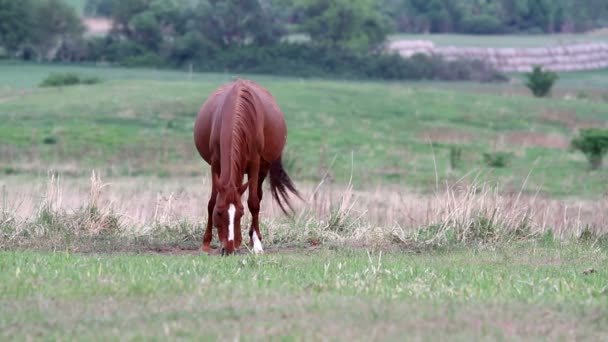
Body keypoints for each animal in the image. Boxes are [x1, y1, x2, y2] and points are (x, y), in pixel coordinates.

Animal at [194, 79, 300, 255]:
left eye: (241, 213)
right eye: (219, 212)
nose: (229, 248)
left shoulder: (255, 165)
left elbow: (253, 202)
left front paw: (256, 243)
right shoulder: (215, 164)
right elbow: (212, 201)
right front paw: (206, 243)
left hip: (262, 169)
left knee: (258, 196)